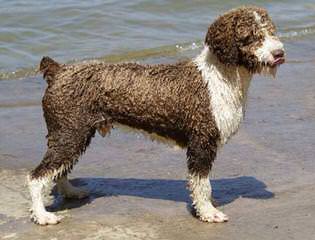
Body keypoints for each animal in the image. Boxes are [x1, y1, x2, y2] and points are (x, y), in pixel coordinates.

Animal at [27, 6, 286, 226]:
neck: (219, 76)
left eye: (271, 31)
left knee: (58, 170)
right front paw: (207, 212)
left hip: (73, 133)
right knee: (37, 176)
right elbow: (202, 184)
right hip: (69, 133)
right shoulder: (201, 141)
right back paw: (42, 215)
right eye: (250, 36)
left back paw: (71, 192)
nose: (280, 53)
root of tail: (59, 70)